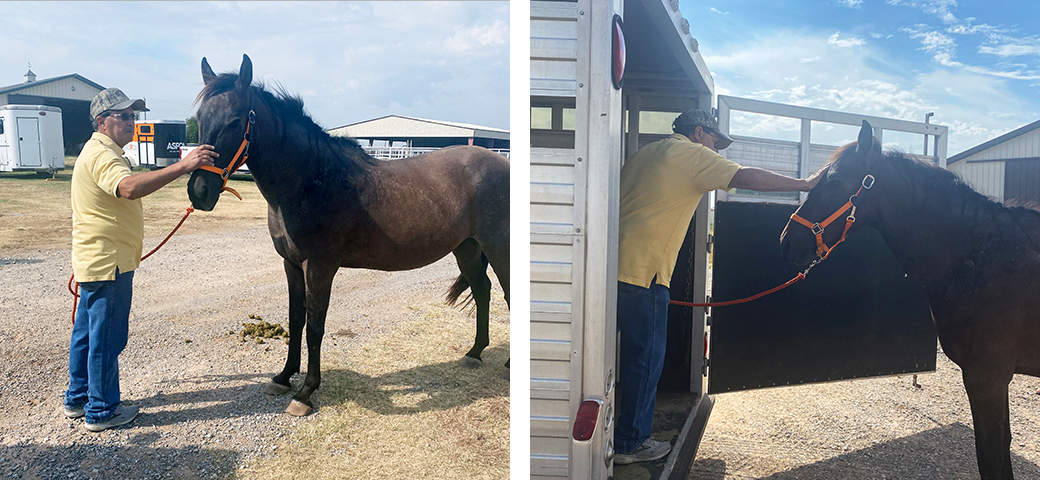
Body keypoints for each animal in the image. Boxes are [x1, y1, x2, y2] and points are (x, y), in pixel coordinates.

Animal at [190, 54, 511, 415]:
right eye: (200, 119)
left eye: (234, 121)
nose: (199, 192)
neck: (311, 180)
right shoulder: (291, 264)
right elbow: (295, 321)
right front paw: (284, 377)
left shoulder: (320, 267)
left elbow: (315, 327)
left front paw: (305, 393)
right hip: (467, 248)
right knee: (482, 290)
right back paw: (474, 353)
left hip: (500, 247)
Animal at [782, 121, 1035, 480]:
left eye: (835, 182)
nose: (786, 243)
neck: (982, 254)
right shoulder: (997, 378)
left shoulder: (988, 377)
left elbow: (991, 457)